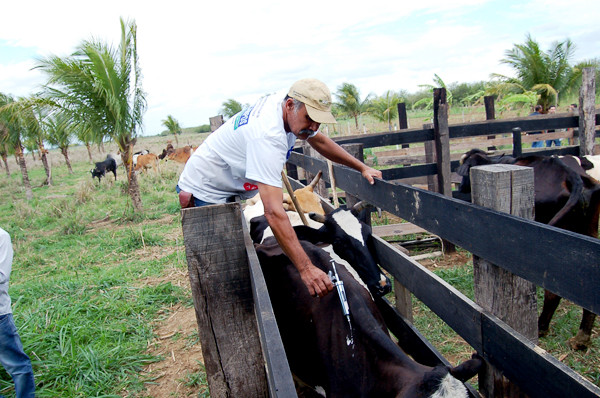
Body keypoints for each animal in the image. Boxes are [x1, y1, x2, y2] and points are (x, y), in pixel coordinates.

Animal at [458, 148, 596, 348]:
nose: (460, 187)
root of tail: (571, 176)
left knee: (552, 294)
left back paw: (542, 327)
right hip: (589, 232)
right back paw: (581, 338)